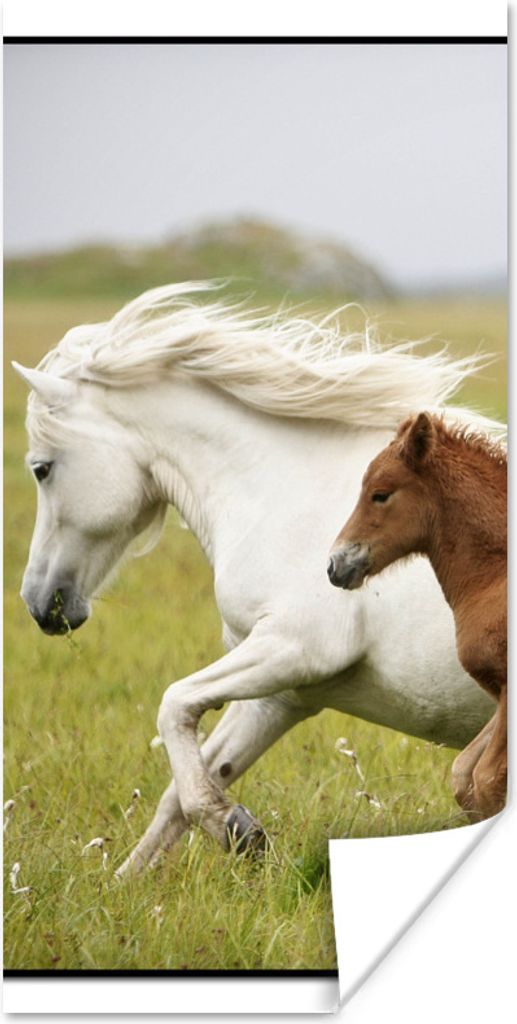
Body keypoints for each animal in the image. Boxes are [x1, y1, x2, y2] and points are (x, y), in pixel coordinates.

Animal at [328, 412, 507, 820]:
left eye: (380, 494)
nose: (335, 565)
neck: (495, 575)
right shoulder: (499, 693)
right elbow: (464, 775)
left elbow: (487, 779)